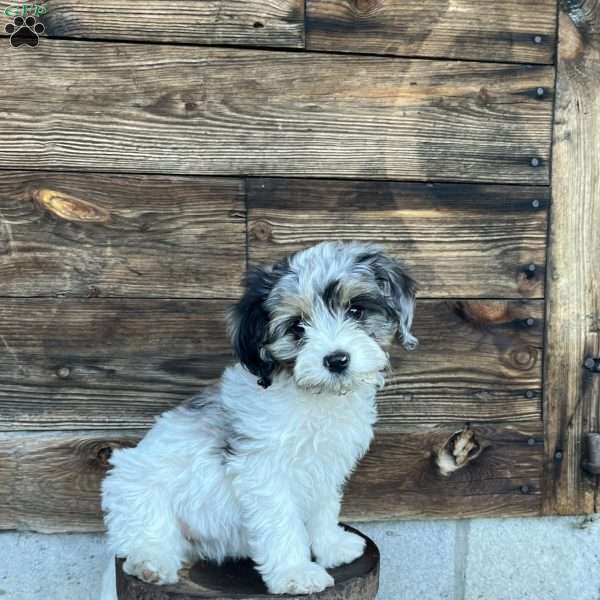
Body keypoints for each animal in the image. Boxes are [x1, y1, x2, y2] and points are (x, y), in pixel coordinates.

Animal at [99, 241, 418, 596]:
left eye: (356, 311)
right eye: (297, 327)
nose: (336, 360)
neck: (312, 395)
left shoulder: (325, 465)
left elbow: (323, 509)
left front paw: (333, 548)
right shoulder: (264, 470)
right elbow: (282, 523)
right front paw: (296, 573)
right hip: (135, 488)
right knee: (147, 534)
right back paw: (151, 563)